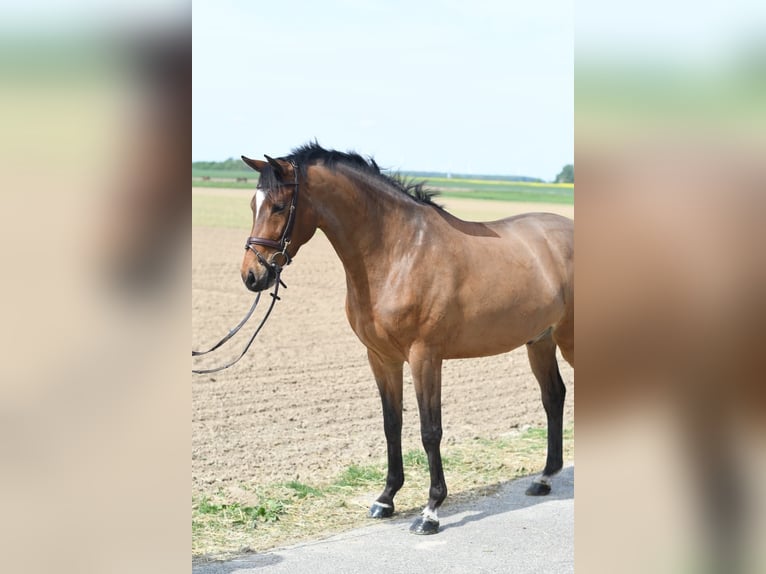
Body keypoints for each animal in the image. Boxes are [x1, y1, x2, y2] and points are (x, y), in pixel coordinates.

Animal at [239, 143, 574, 534]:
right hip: (541, 341)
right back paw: (544, 478)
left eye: (279, 206)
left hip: (568, 339)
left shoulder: (424, 356)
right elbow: (391, 424)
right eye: (254, 204)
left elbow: (430, 430)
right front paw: (386, 498)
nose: (252, 275)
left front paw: (430, 510)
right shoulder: (381, 357)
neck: (400, 252)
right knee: (553, 397)